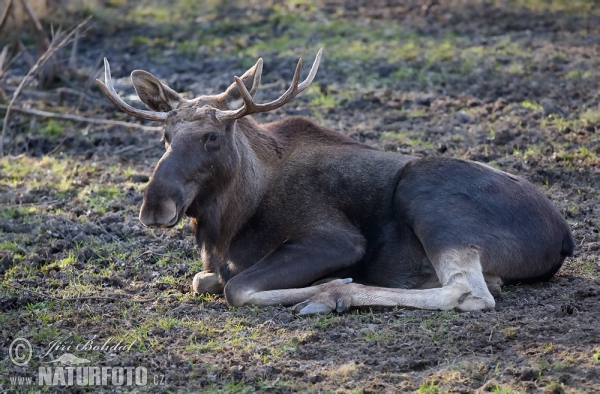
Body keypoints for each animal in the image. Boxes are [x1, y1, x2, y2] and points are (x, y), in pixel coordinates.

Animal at [96, 49, 576, 314]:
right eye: (165, 136)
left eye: (212, 137)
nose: (155, 206)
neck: (228, 222)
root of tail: (565, 237)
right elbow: (205, 280)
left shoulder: (335, 239)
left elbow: (237, 287)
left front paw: (329, 285)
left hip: (427, 194)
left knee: (467, 292)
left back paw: (334, 294)